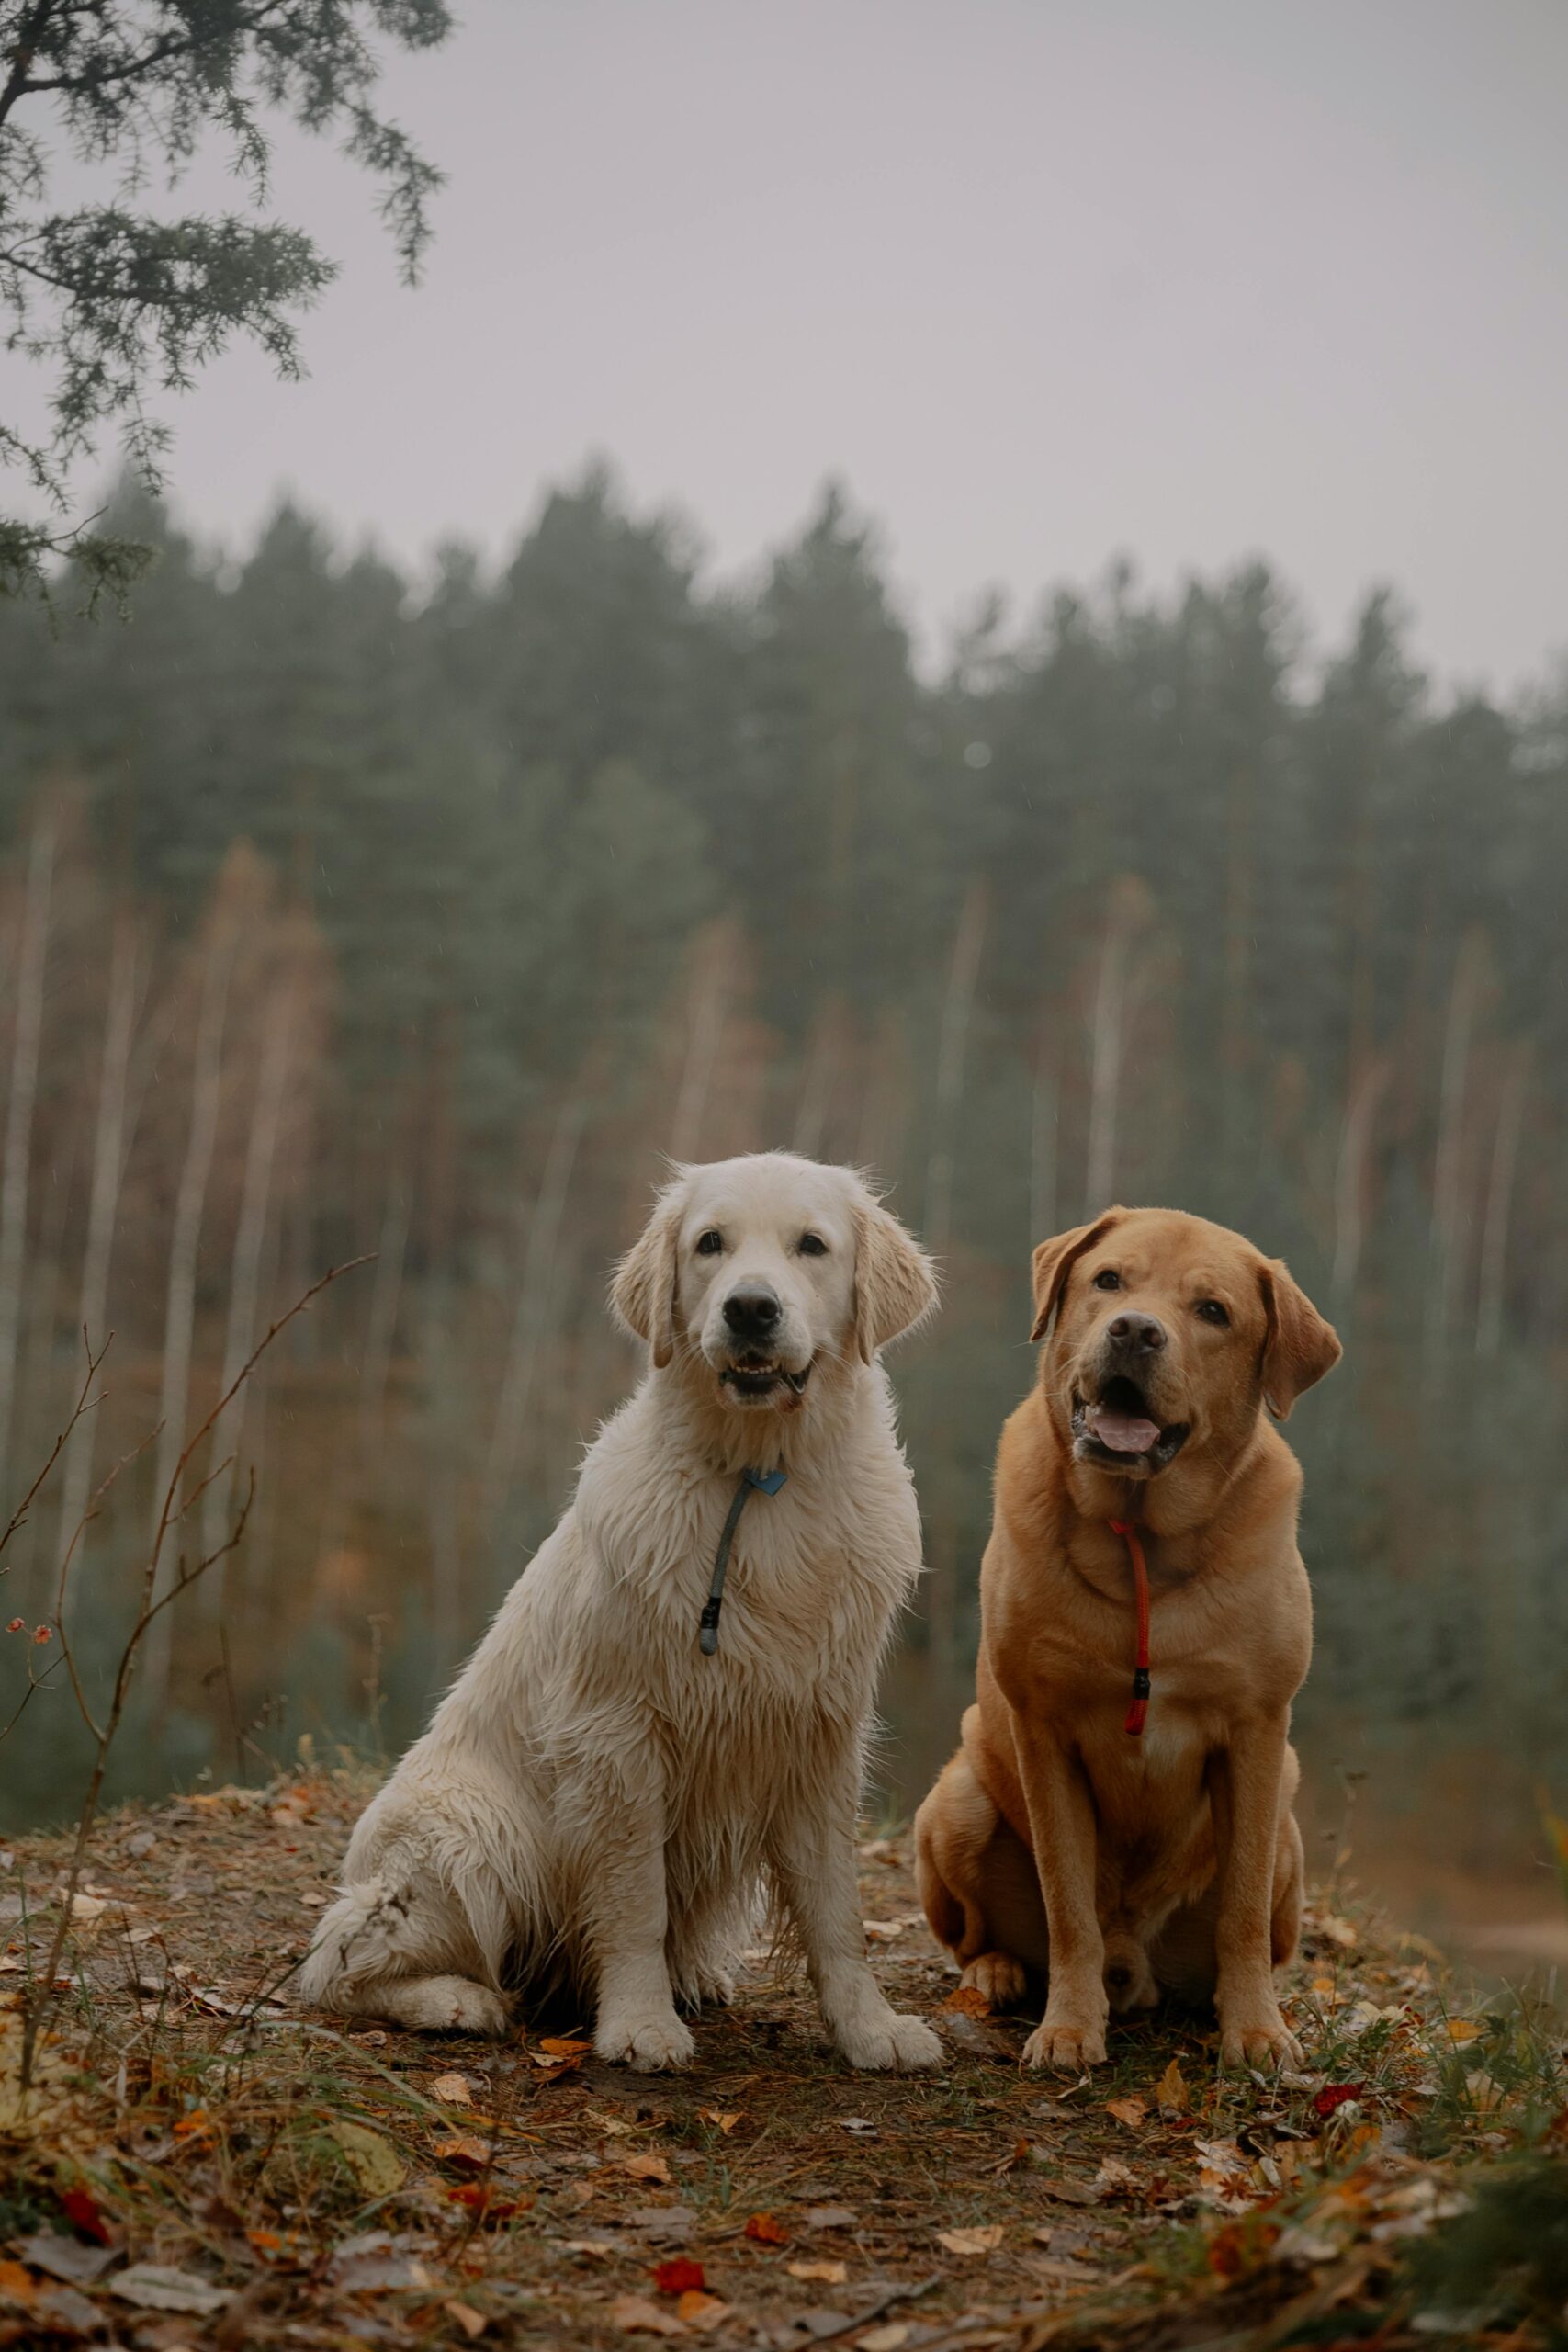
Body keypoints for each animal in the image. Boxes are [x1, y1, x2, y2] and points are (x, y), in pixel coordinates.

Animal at [303, 1148, 949, 2069]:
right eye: (710, 1243)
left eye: (812, 1246)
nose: (750, 1308)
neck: (759, 1478)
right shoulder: (615, 1734)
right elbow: (635, 1897)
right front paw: (641, 2024)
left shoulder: (818, 1729)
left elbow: (836, 1910)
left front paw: (869, 2029)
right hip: (473, 1831)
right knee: (337, 1964)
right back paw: (454, 2001)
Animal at [911, 1204, 1344, 2069]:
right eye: (1108, 1280)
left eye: (1212, 1311)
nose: (1136, 1331)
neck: (1140, 1538)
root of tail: (1137, 1969)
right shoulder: (1043, 1733)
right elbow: (1068, 1901)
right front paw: (1068, 2028)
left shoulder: (1255, 1736)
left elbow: (1241, 1908)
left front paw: (1255, 2030)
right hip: (956, 1799)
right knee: (976, 1934)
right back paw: (998, 1972)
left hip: (1286, 1820)